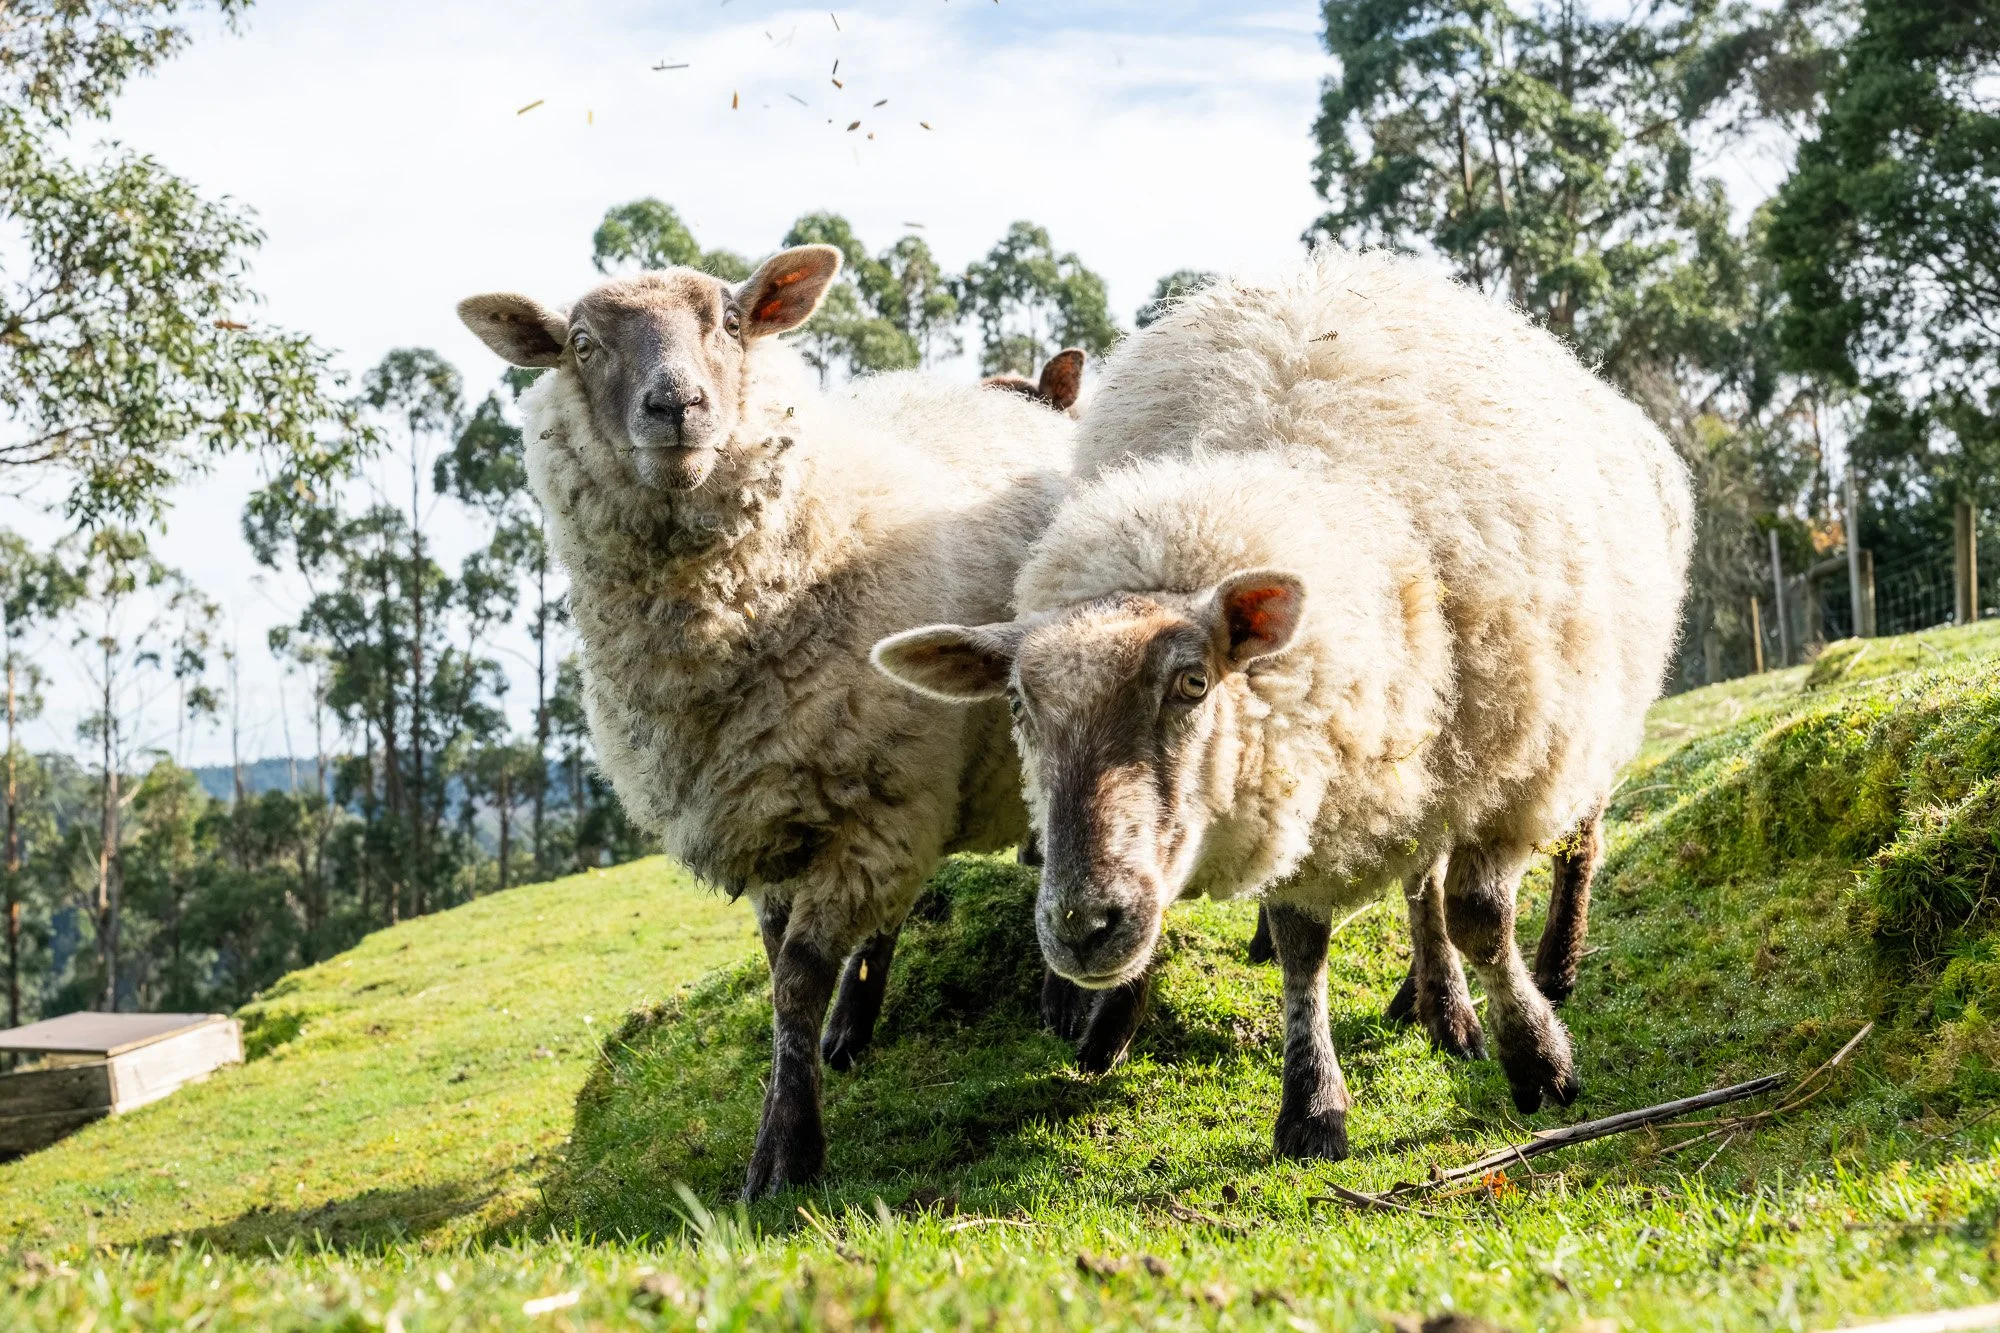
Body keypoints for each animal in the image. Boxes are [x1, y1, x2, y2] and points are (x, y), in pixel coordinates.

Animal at [456, 246, 1072, 1197]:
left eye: (733, 321)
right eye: (582, 344)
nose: (676, 405)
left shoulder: (867, 813)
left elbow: (796, 980)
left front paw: (784, 1155)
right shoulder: (769, 815)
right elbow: (786, 980)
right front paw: (804, 1087)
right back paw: (855, 1028)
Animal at [873, 248, 1692, 1159]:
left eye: (1193, 684)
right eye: (1018, 703)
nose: (1083, 926)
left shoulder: (1507, 767)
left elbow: (1480, 916)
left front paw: (1539, 1060)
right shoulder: (1309, 774)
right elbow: (1306, 947)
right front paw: (1313, 1103)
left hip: (1580, 718)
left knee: (1575, 845)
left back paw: (1552, 968)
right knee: (1422, 880)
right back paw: (1430, 1000)